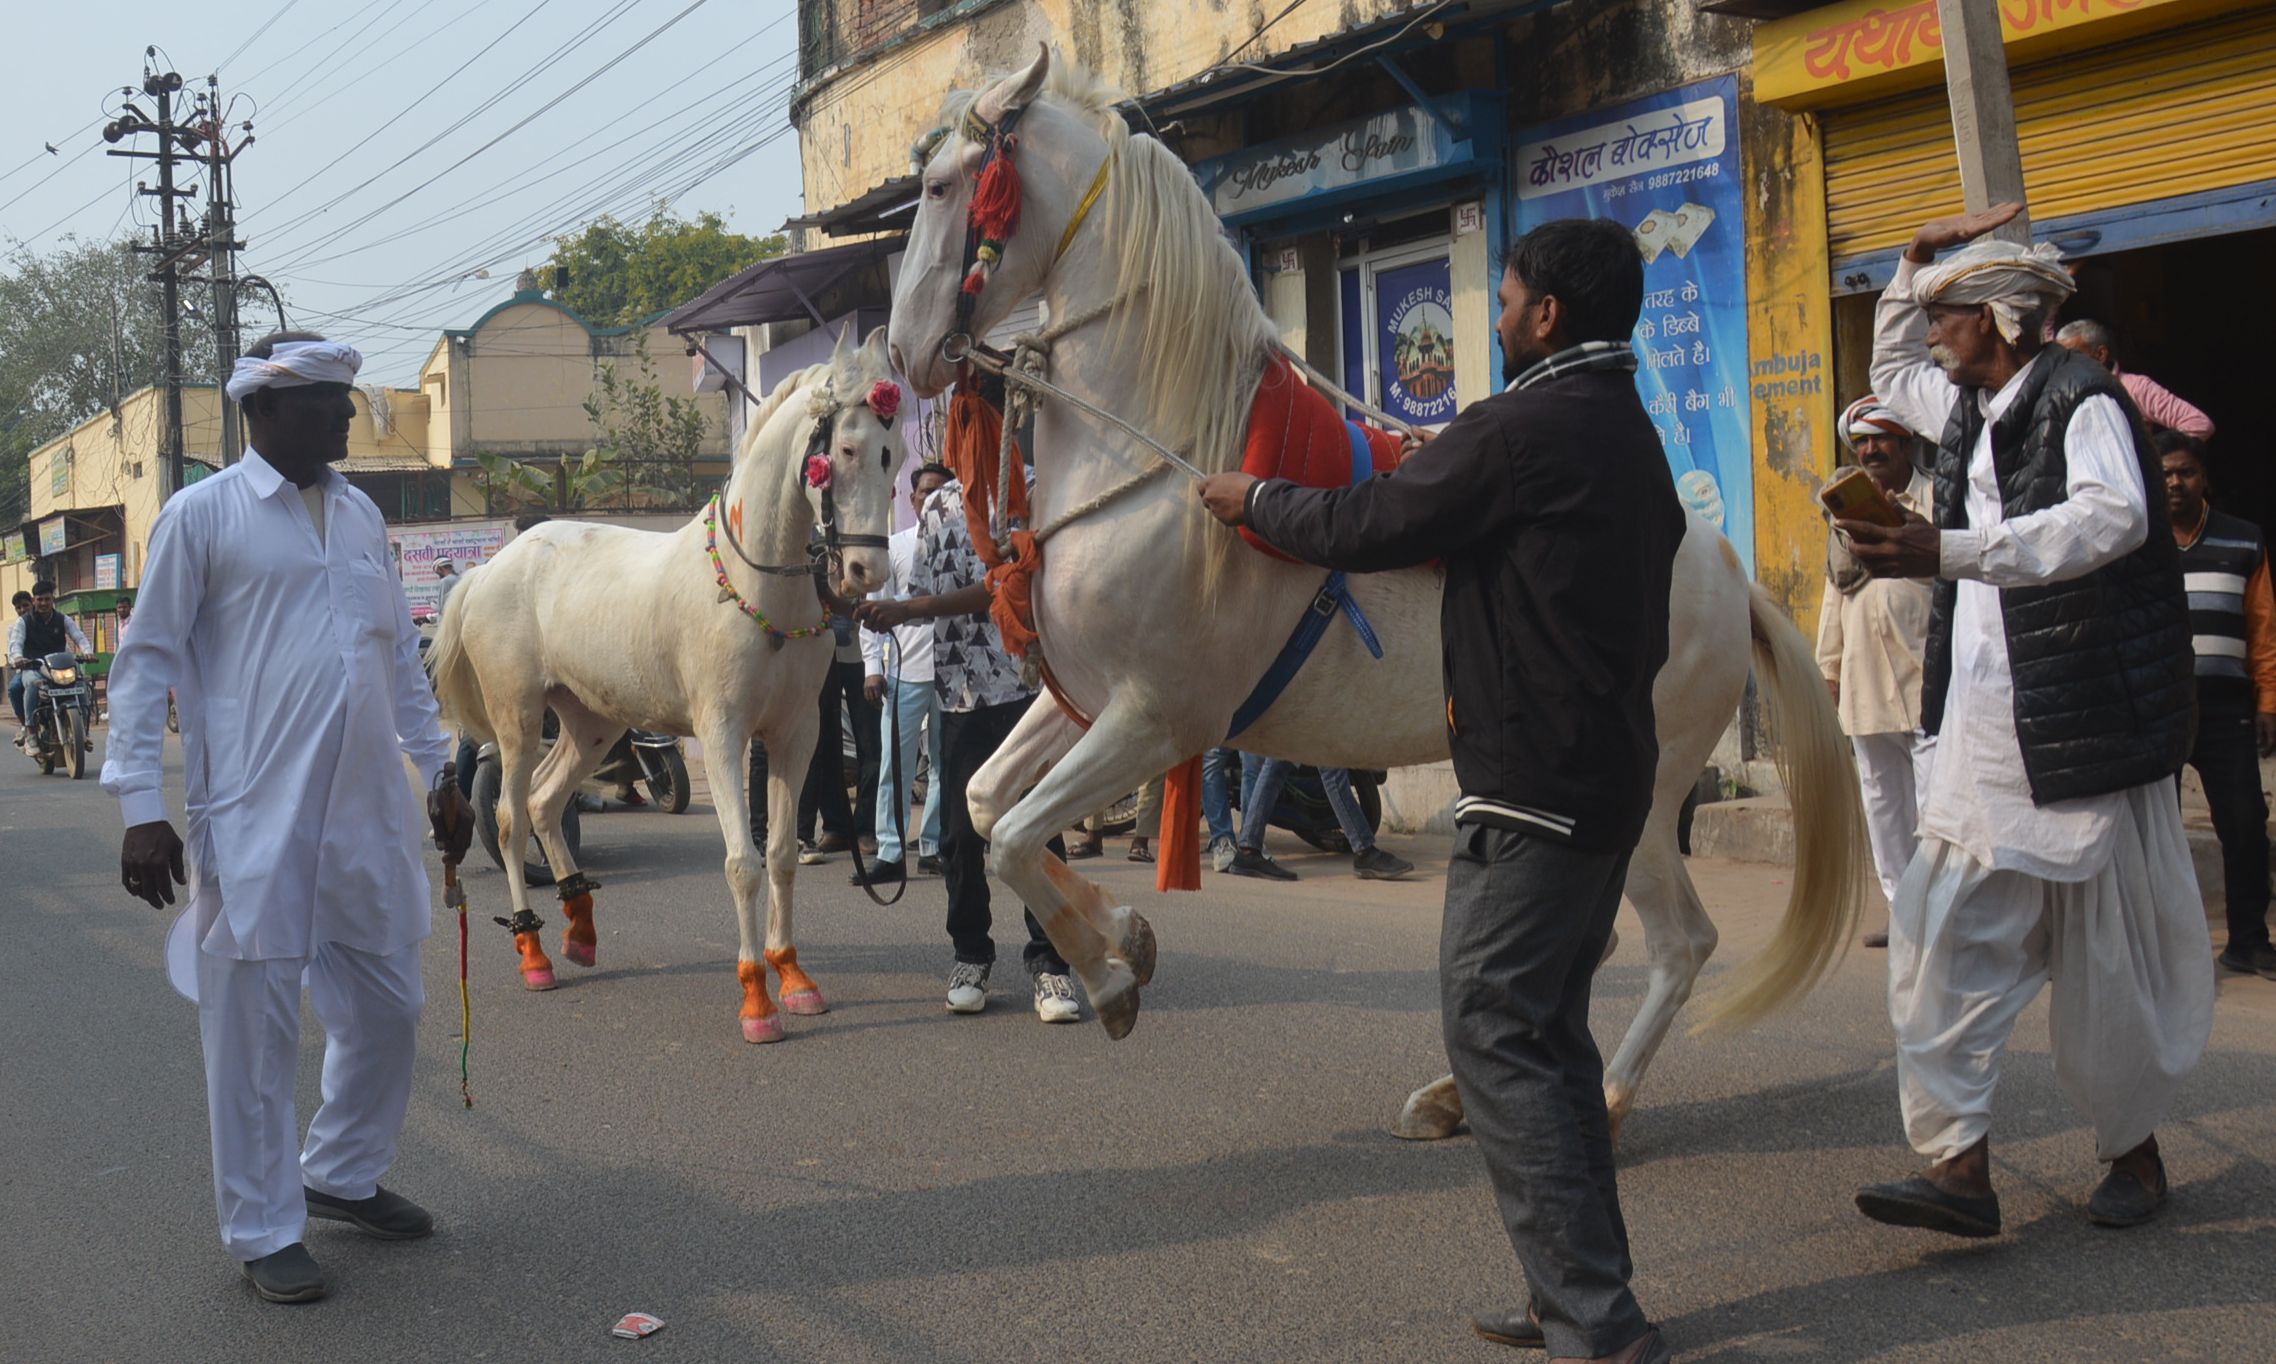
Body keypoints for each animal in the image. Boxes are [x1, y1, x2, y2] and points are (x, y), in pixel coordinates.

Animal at [427, 327, 896, 1047]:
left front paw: (793, 977)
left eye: (890, 455)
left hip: (592, 722)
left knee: (545, 803)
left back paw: (580, 931)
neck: (757, 583)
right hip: (518, 718)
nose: (867, 570)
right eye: (843, 451)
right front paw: (756, 1000)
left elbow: (783, 855)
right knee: (508, 818)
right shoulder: (724, 733)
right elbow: (742, 863)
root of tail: (485, 571)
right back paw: (534, 954)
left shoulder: (798, 733)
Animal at [887, 48, 1866, 1138]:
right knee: (1592, 946)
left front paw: (1110, 974)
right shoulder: (1089, 700)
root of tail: (1729, 577)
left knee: (1678, 942)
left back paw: (1605, 1101)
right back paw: (1457, 1094)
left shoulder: (1160, 719)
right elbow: (984, 803)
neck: (1156, 455)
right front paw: (1121, 939)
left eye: (942, 190)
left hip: (1642, 795)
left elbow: (1016, 835)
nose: (902, 352)